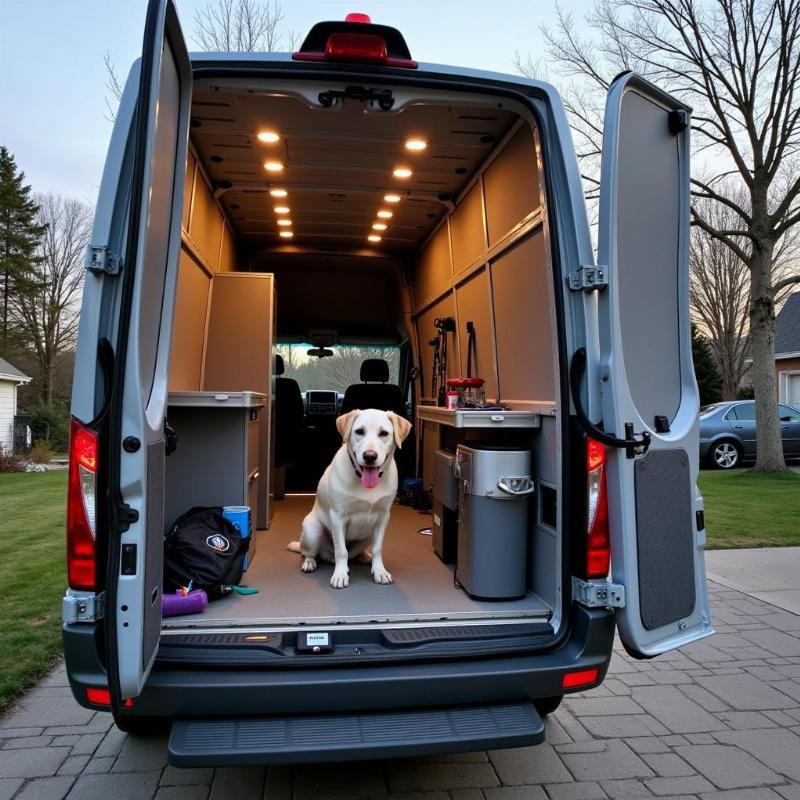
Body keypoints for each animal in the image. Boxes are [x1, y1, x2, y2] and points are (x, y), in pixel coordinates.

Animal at [288, 412, 412, 588]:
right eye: (359, 431)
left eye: (384, 433)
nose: (369, 456)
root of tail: (326, 554)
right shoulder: (338, 517)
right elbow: (341, 551)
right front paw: (340, 575)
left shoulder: (383, 517)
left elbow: (378, 548)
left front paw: (379, 571)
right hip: (312, 530)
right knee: (310, 553)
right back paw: (309, 563)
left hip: (368, 535)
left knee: (357, 552)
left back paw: (366, 557)